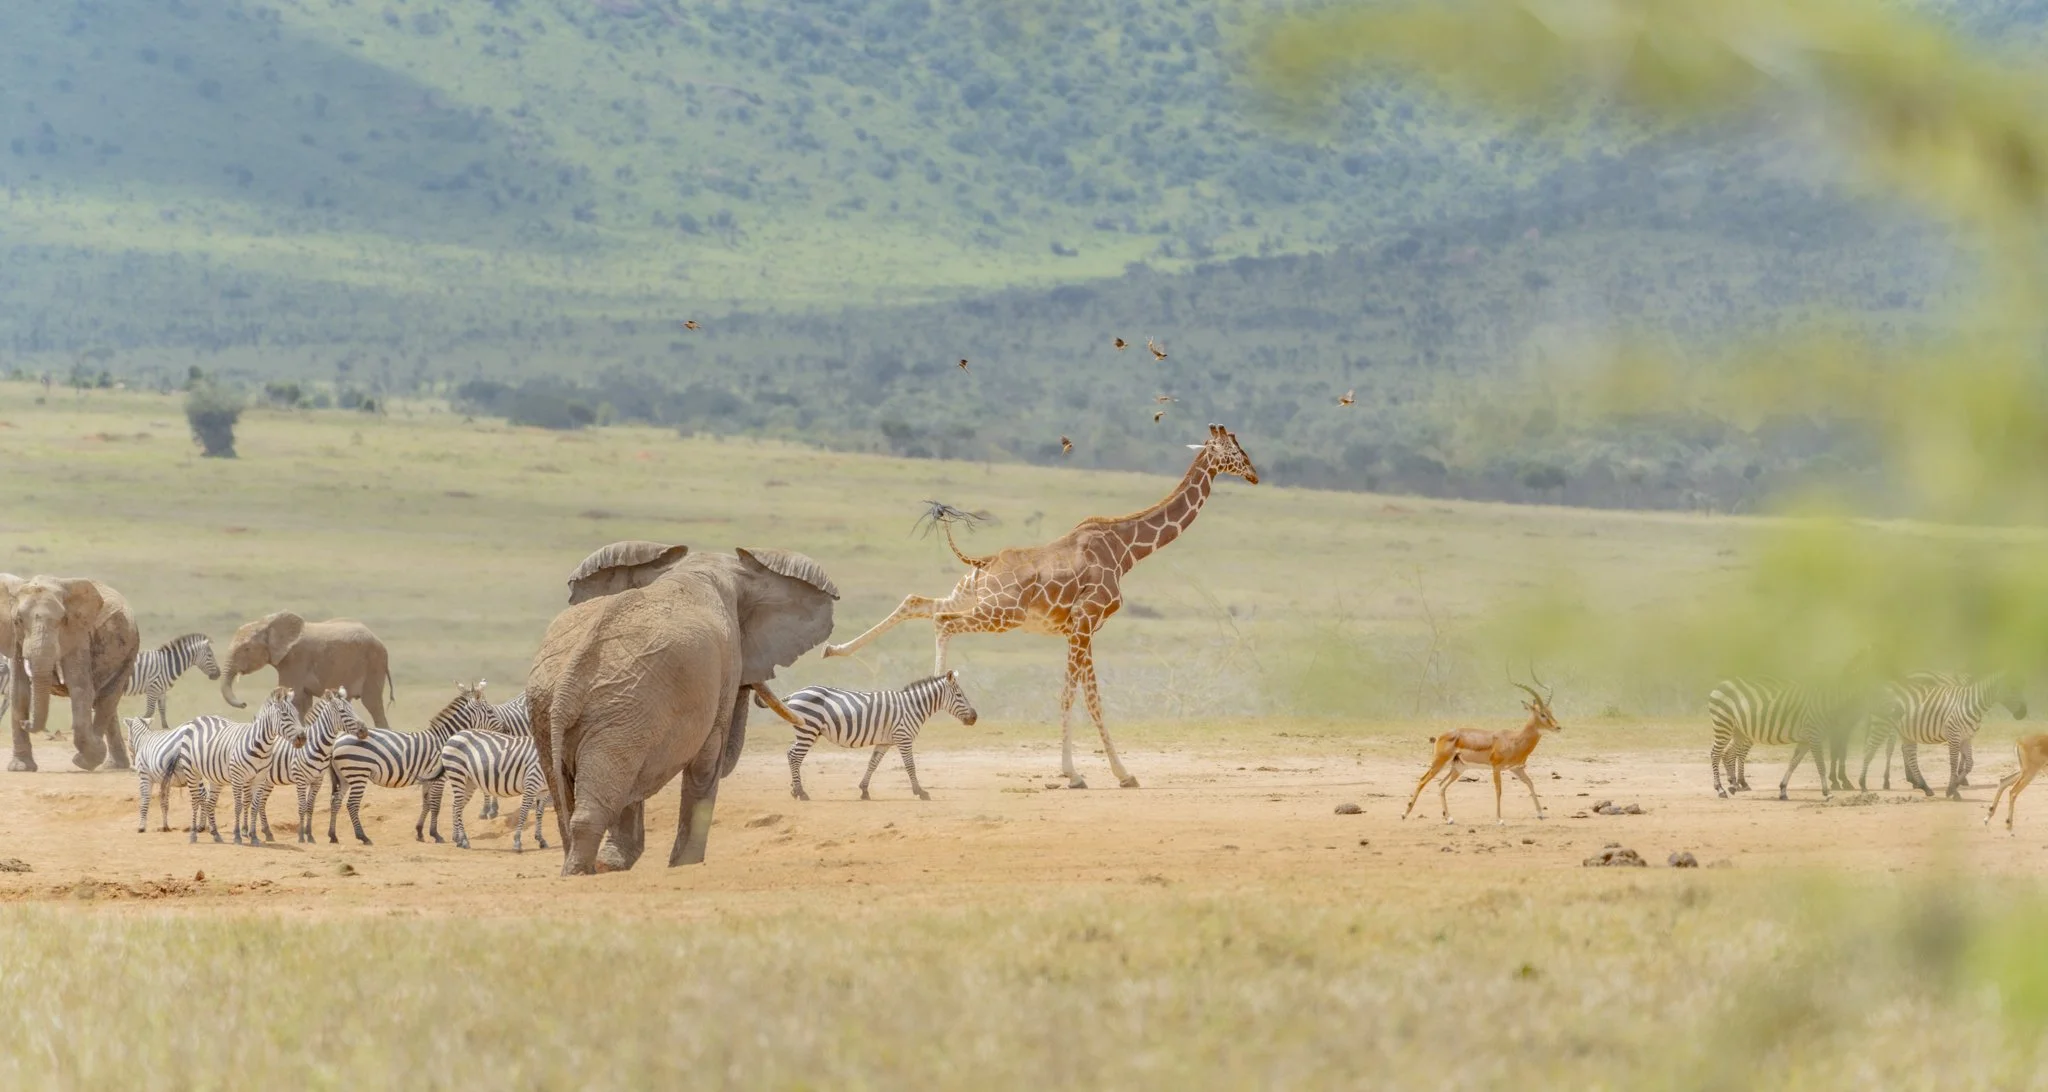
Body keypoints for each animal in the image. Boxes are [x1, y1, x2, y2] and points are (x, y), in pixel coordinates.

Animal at [7, 576, 141, 772]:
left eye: (63, 620)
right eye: (18, 620)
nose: (26, 723)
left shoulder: (78, 635)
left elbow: (80, 688)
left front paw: (83, 759)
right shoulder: (13, 638)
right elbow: (19, 691)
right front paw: (20, 768)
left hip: (130, 649)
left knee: (107, 697)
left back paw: (92, 758)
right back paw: (113, 765)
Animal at [220, 612, 395, 729]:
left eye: (246, 649)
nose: (243, 703)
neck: (267, 623)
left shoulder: (296, 660)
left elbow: (293, 696)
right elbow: (302, 700)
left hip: (374, 664)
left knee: (373, 704)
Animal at [529, 544, 836, 876]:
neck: (698, 568)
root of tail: (568, 684)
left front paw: (615, 863)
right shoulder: (723, 666)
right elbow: (706, 765)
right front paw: (685, 864)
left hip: (556, 711)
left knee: (571, 795)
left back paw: (583, 868)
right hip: (620, 710)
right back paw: (580, 873)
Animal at [823, 423, 1259, 788]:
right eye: (1234, 449)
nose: (1255, 474)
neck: (1127, 550)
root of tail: (983, 563)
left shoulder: (1080, 628)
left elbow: (1083, 697)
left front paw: (1100, 773)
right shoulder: (1085, 621)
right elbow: (1079, 697)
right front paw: (1093, 774)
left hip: (972, 596)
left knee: (916, 602)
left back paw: (836, 649)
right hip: (1000, 614)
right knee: (943, 621)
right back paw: (934, 692)